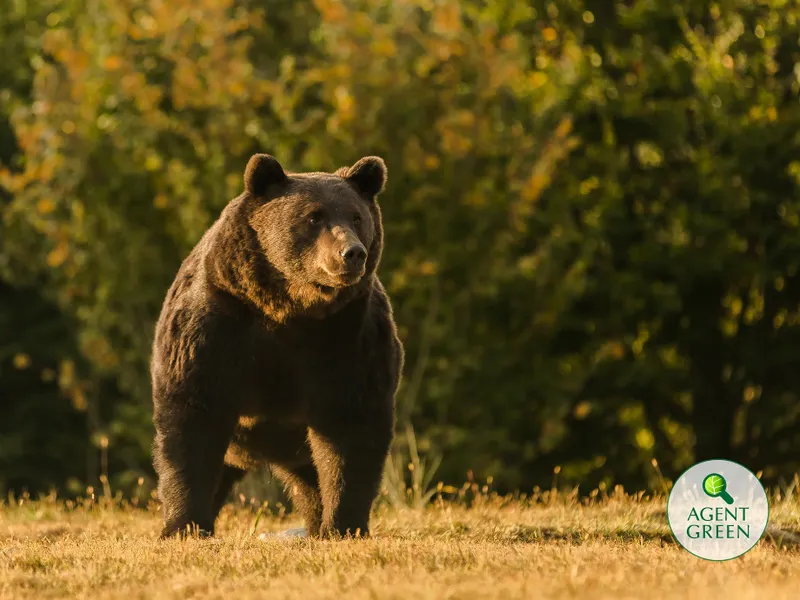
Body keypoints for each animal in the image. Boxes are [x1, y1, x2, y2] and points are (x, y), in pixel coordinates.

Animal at [149, 154, 404, 540]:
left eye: (357, 217)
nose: (352, 253)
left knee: (310, 480)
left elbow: (351, 426)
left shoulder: (349, 336)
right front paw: (184, 525)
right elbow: (192, 417)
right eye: (314, 216)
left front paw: (344, 524)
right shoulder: (216, 325)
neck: (290, 308)